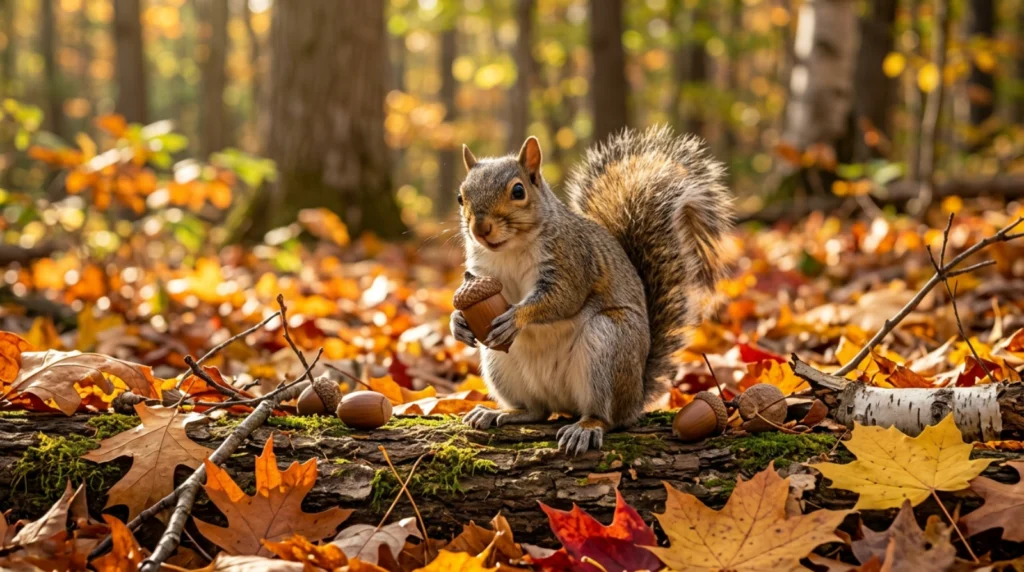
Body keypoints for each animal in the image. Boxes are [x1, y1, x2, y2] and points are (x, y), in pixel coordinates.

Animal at [451, 125, 733, 455]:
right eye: (460, 197)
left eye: (518, 191)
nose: (480, 229)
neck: (510, 249)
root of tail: (636, 396)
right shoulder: (483, 272)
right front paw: (458, 322)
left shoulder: (573, 261)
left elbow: (562, 299)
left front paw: (517, 316)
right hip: (499, 363)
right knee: (538, 411)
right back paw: (501, 412)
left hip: (610, 342)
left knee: (606, 417)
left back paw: (586, 427)